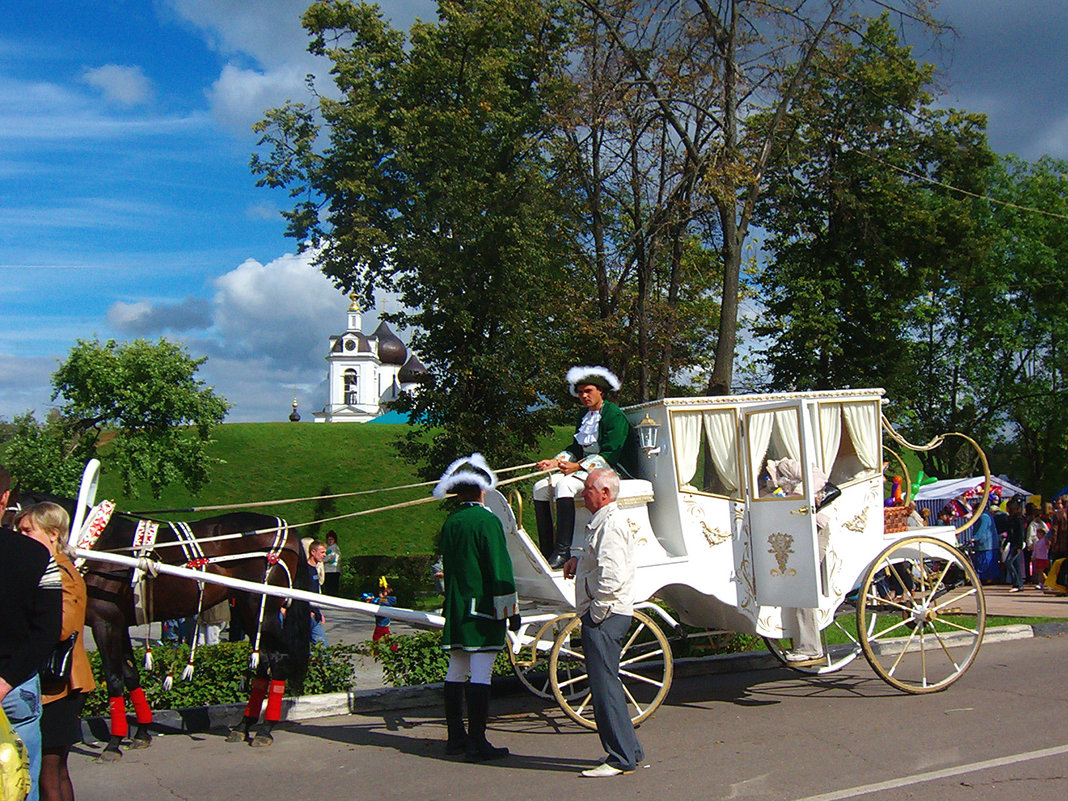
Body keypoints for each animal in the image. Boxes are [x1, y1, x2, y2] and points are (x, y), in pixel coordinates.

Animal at [13, 493, 311, 760]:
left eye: (20, 525)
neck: (97, 545)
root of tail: (288, 531)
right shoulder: (120, 624)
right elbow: (130, 674)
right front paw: (142, 732)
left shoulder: (104, 622)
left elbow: (113, 677)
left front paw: (114, 743)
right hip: (251, 613)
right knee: (264, 662)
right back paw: (243, 725)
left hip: (260, 606)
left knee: (279, 659)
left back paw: (265, 728)